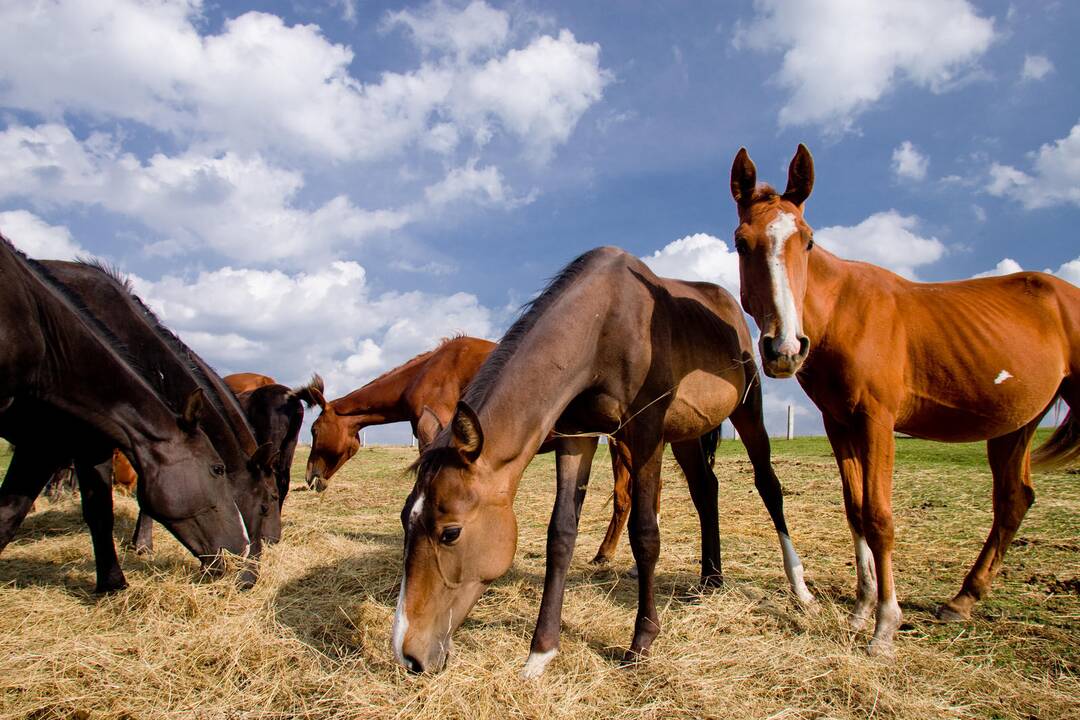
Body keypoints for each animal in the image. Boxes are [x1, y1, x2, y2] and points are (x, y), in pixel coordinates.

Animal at [0, 237, 247, 591]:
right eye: (217, 469)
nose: (244, 552)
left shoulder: (48, 442)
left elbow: (9, 513)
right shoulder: (83, 443)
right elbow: (100, 510)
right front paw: (115, 581)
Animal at [390, 248, 812, 677]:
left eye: (450, 533)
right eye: (406, 521)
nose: (409, 655)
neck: (604, 323)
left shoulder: (645, 435)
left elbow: (645, 535)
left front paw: (641, 642)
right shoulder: (577, 436)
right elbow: (561, 534)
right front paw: (540, 653)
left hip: (748, 408)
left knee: (768, 485)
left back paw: (799, 586)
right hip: (686, 434)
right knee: (705, 489)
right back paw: (711, 578)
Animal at [725, 143, 1080, 656]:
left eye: (807, 241)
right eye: (741, 242)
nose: (785, 348)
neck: (844, 312)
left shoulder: (877, 421)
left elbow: (879, 517)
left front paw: (885, 626)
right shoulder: (840, 424)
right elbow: (855, 511)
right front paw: (861, 609)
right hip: (1015, 424)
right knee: (1013, 500)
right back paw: (962, 600)